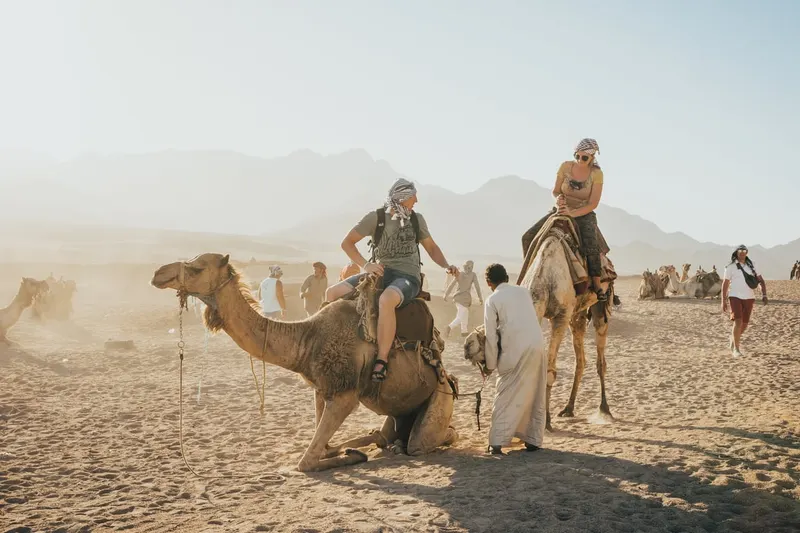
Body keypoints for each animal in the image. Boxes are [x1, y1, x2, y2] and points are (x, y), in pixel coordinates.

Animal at [151, 253, 458, 472]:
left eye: (197, 267)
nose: (158, 273)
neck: (307, 338)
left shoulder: (345, 394)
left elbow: (306, 462)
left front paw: (351, 456)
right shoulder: (321, 389)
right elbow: (324, 445)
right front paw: (346, 450)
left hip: (439, 398)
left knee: (428, 440)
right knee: (386, 435)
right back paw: (384, 442)